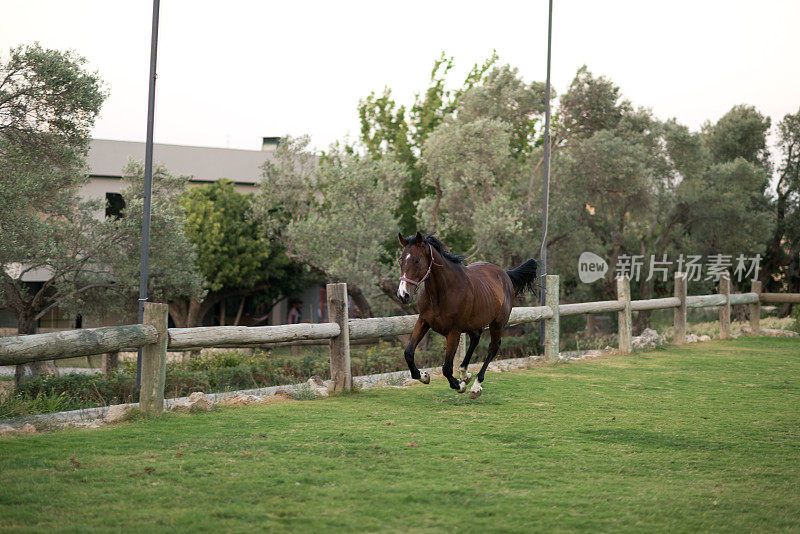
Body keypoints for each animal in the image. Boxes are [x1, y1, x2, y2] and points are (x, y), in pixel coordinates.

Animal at [396, 232, 536, 400]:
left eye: (417, 260)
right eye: (401, 259)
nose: (403, 294)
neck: (443, 292)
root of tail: (505, 274)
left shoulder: (454, 331)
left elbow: (447, 368)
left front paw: (459, 386)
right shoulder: (423, 321)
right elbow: (408, 353)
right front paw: (424, 376)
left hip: (497, 323)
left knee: (493, 348)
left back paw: (475, 386)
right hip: (473, 323)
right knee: (475, 339)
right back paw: (465, 374)